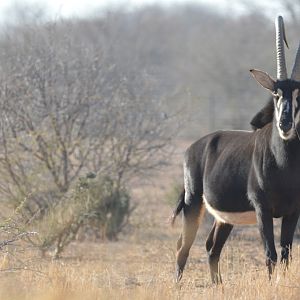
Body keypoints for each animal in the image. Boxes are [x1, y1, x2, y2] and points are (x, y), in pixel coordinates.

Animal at [172, 16, 300, 284]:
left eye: (298, 94)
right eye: (275, 93)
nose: (285, 124)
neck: (285, 164)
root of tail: (194, 147)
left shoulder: (294, 211)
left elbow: (286, 255)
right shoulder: (263, 209)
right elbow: (270, 254)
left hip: (224, 219)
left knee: (212, 247)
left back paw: (218, 287)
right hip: (193, 203)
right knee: (183, 248)